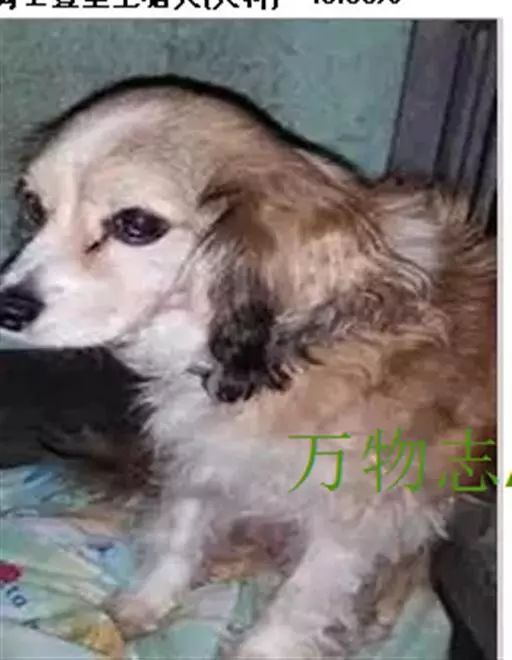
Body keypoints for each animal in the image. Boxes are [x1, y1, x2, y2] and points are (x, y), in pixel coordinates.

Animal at [0, 76, 496, 659]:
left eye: (136, 225)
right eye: (35, 207)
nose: (7, 308)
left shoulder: (352, 522)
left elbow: (296, 603)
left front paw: (262, 648)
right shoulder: (201, 460)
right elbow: (180, 536)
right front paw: (147, 603)